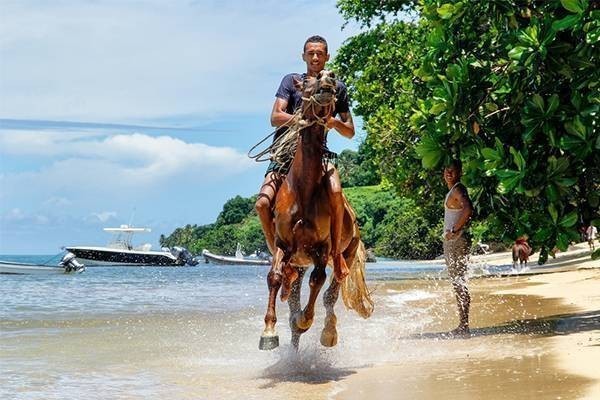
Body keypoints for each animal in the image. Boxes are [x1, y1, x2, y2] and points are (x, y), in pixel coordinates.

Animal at [258, 71, 372, 350]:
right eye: (306, 82)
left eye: (334, 79)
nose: (327, 78)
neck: (303, 187)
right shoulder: (283, 244)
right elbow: (274, 276)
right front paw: (269, 331)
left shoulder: (321, 248)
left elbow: (318, 281)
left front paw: (305, 319)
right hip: (298, 262)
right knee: (293, 287)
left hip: (346, 253)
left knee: (332, 290)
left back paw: (328, 331)